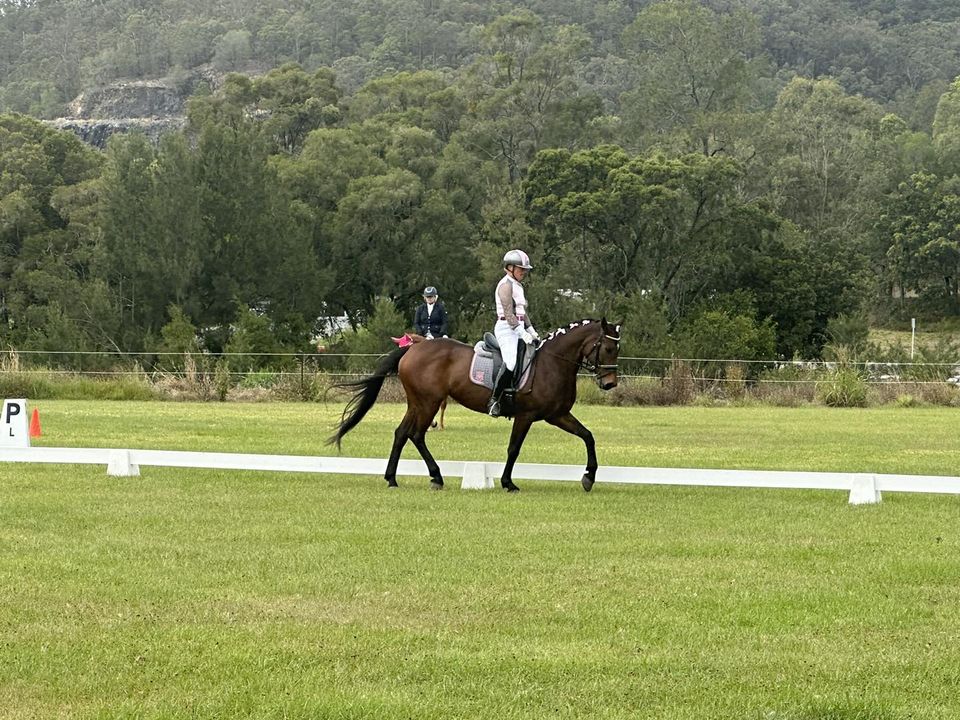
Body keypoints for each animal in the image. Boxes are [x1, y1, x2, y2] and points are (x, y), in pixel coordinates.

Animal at [330, 320, 624, 492]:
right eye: (609, 349)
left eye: (616, 350)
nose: (610, 383)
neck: (553, 362)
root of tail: (413, 348)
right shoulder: (526, 415)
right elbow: (514, 448)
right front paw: (508, 483)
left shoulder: (558, 414)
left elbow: (588, 436)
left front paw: (589, 477)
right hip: (428, 403)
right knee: (416, 434)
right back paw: (435, 477)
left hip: (417, 403)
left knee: (402, 434)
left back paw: (392, 478)